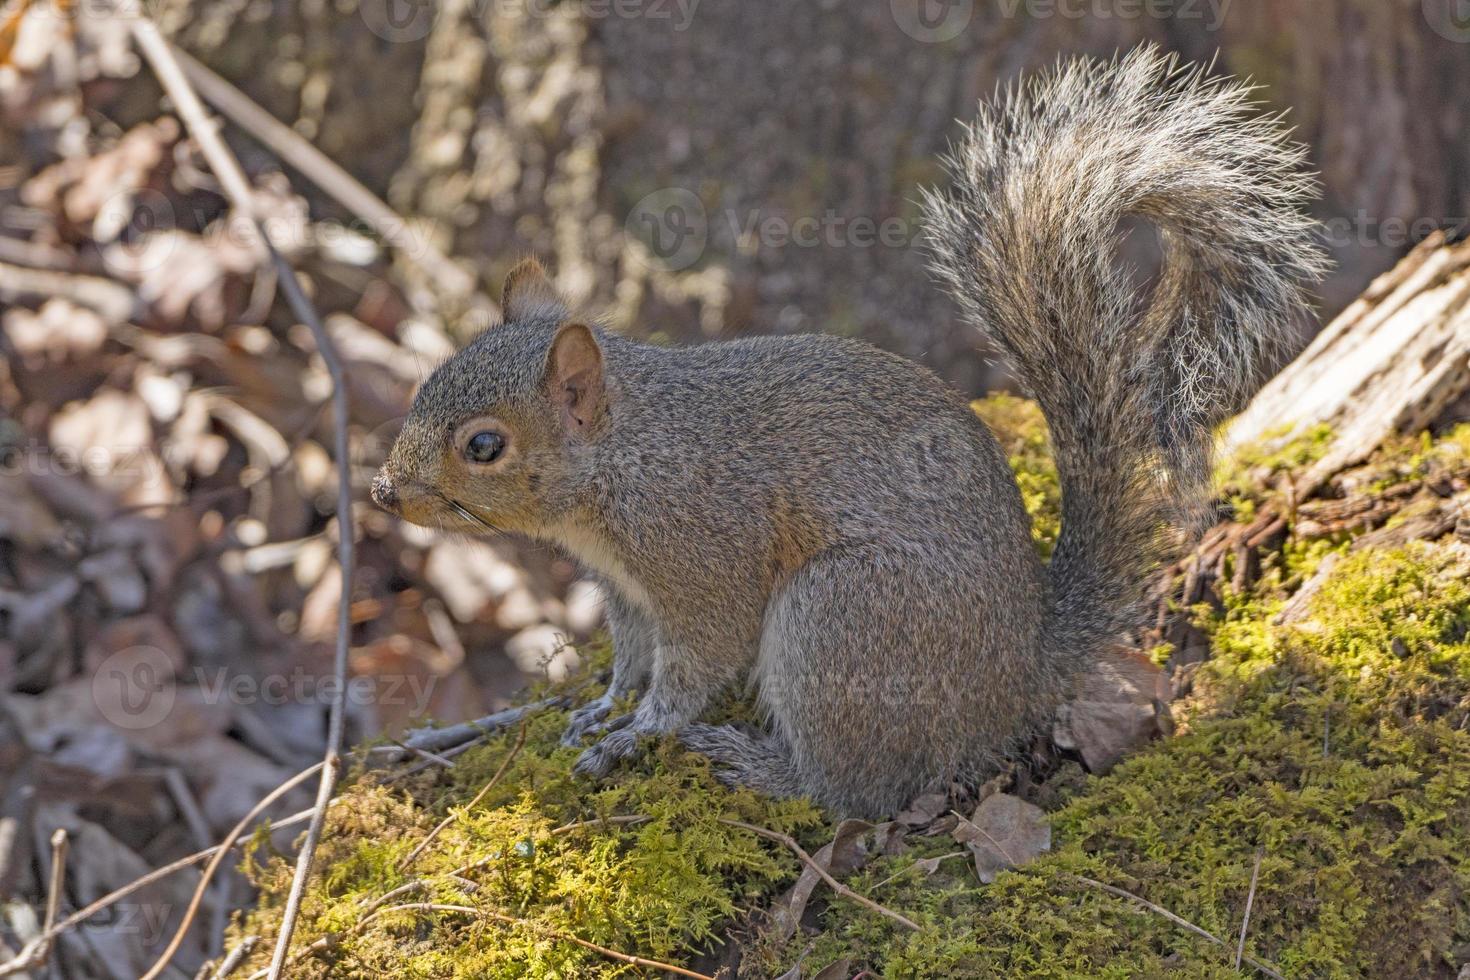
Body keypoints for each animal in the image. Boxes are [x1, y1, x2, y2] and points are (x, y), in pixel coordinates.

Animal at [367, 49, 1323, 822]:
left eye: (484, 446)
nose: (384, 491)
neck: (623, 464)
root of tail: (1018, 676)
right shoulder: (628, 592)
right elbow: (634, 656)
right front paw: (604, 706)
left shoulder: (703, 557)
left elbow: (695, 663)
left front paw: (639, 733)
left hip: (842, 620)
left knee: (856, 791)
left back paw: (765, 767)